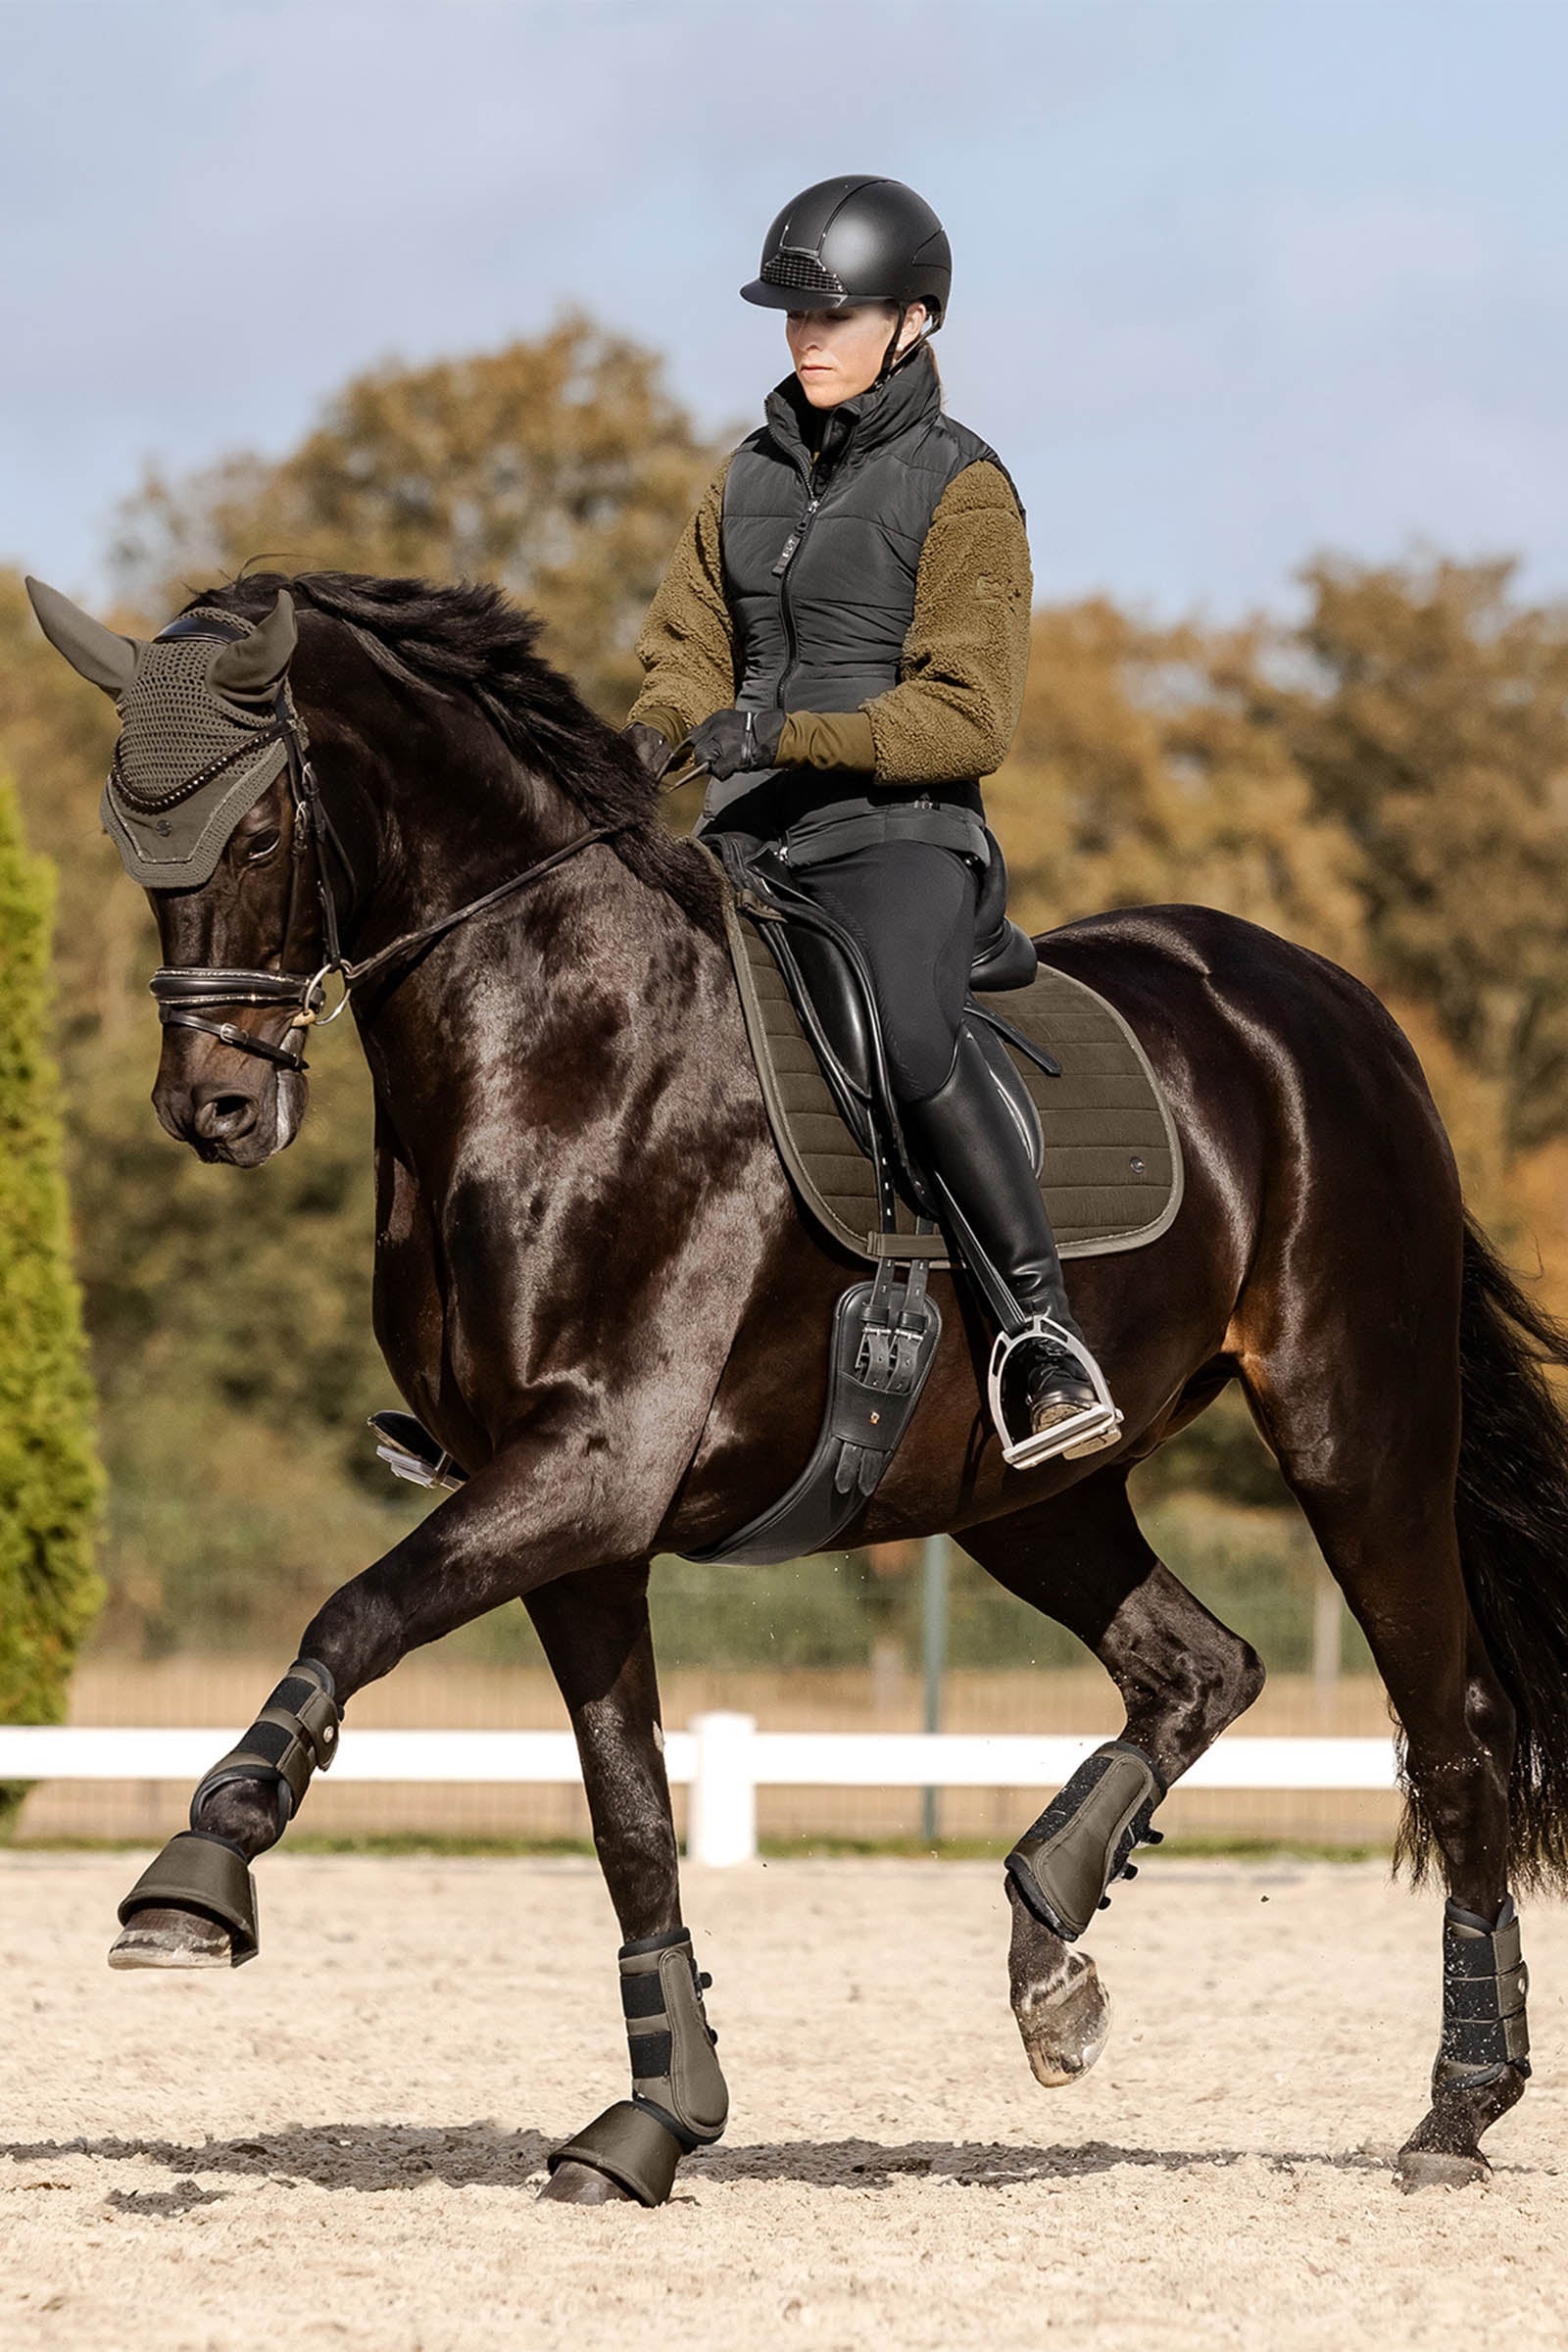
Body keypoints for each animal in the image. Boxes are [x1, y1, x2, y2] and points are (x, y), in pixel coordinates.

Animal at [28, 567, 1568, 2202]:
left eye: (258, 834)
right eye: (135, 842)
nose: (213, 1109)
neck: (567, 1047)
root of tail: (1331, 1006)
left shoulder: (589, 1469)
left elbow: (353, 1613)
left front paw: (199, 1873)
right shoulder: (574, 1527)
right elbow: (631, 1817)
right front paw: (656, 2122)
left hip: (1354, 1436)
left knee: (1454, 1734)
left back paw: (1458, 2105)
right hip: (1025, 1493)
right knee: (1199, 1667)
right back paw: (1049, 1948)